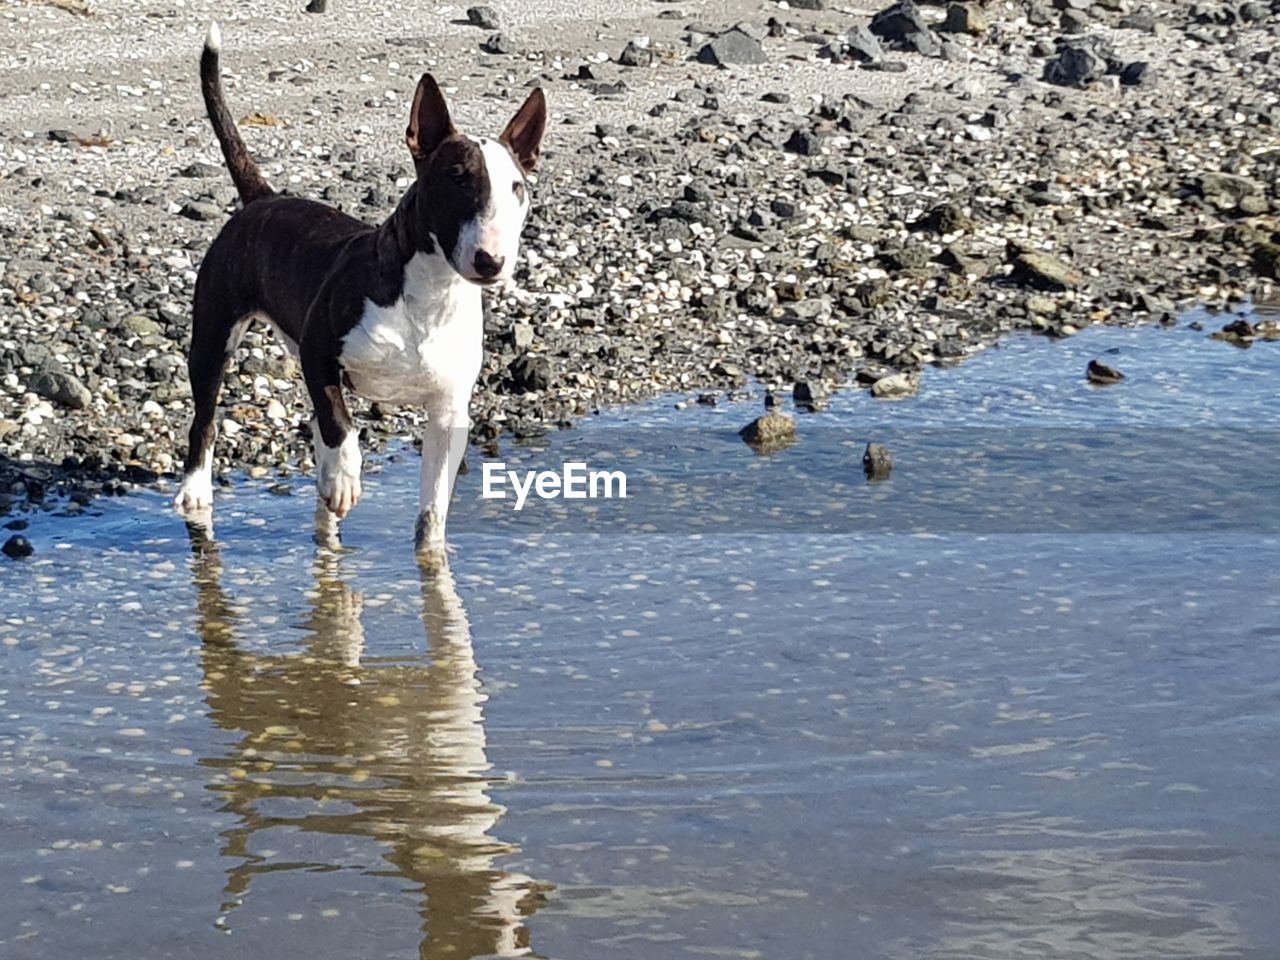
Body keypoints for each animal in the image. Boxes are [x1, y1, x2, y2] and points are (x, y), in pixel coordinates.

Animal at [174, 22, 545, 560]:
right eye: (456, 179)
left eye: (517, 187)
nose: (490, 262)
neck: (427, 299)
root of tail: (264, 199)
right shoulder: (319, 350)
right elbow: (339, 421)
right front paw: (346, 479)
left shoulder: (449, 411)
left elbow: (434, 503)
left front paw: (432, 562)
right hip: (214, 331)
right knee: (205, 417)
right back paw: (199, 491)